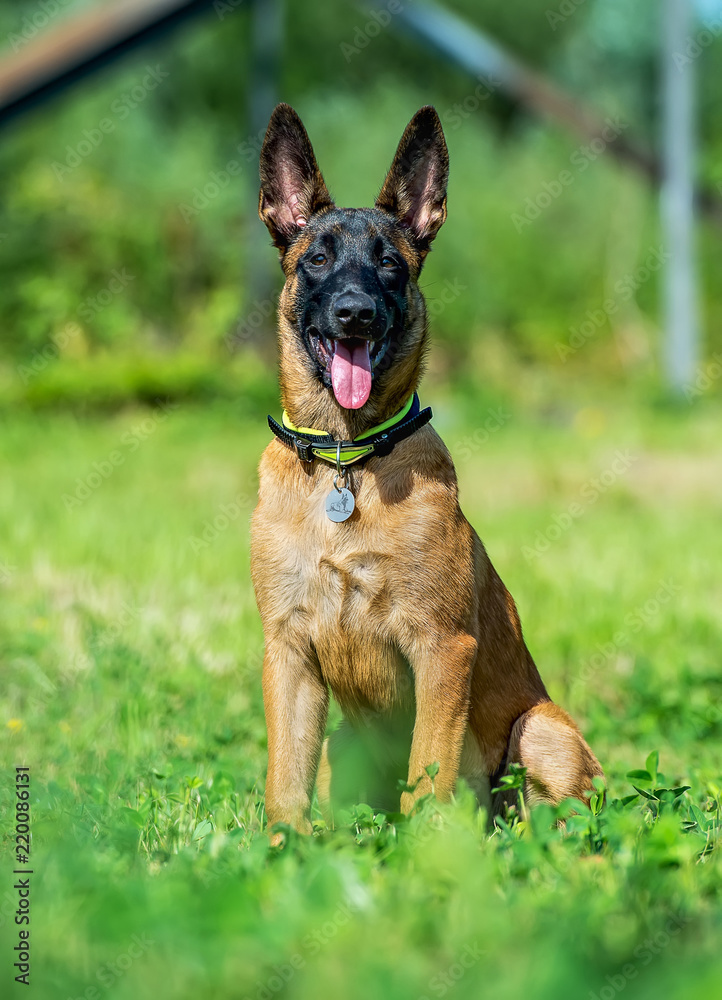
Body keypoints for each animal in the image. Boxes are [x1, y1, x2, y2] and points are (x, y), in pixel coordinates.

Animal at [250, 101, 600, 840]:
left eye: (390, 265)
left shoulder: (442, 649)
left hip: (540, 733)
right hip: (343, 744)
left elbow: (427, 778)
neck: (348, 462)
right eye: (317, 258)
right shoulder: (288, 653)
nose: (355, 313)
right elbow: (284, 782)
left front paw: (425, 856)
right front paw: (278, 853)